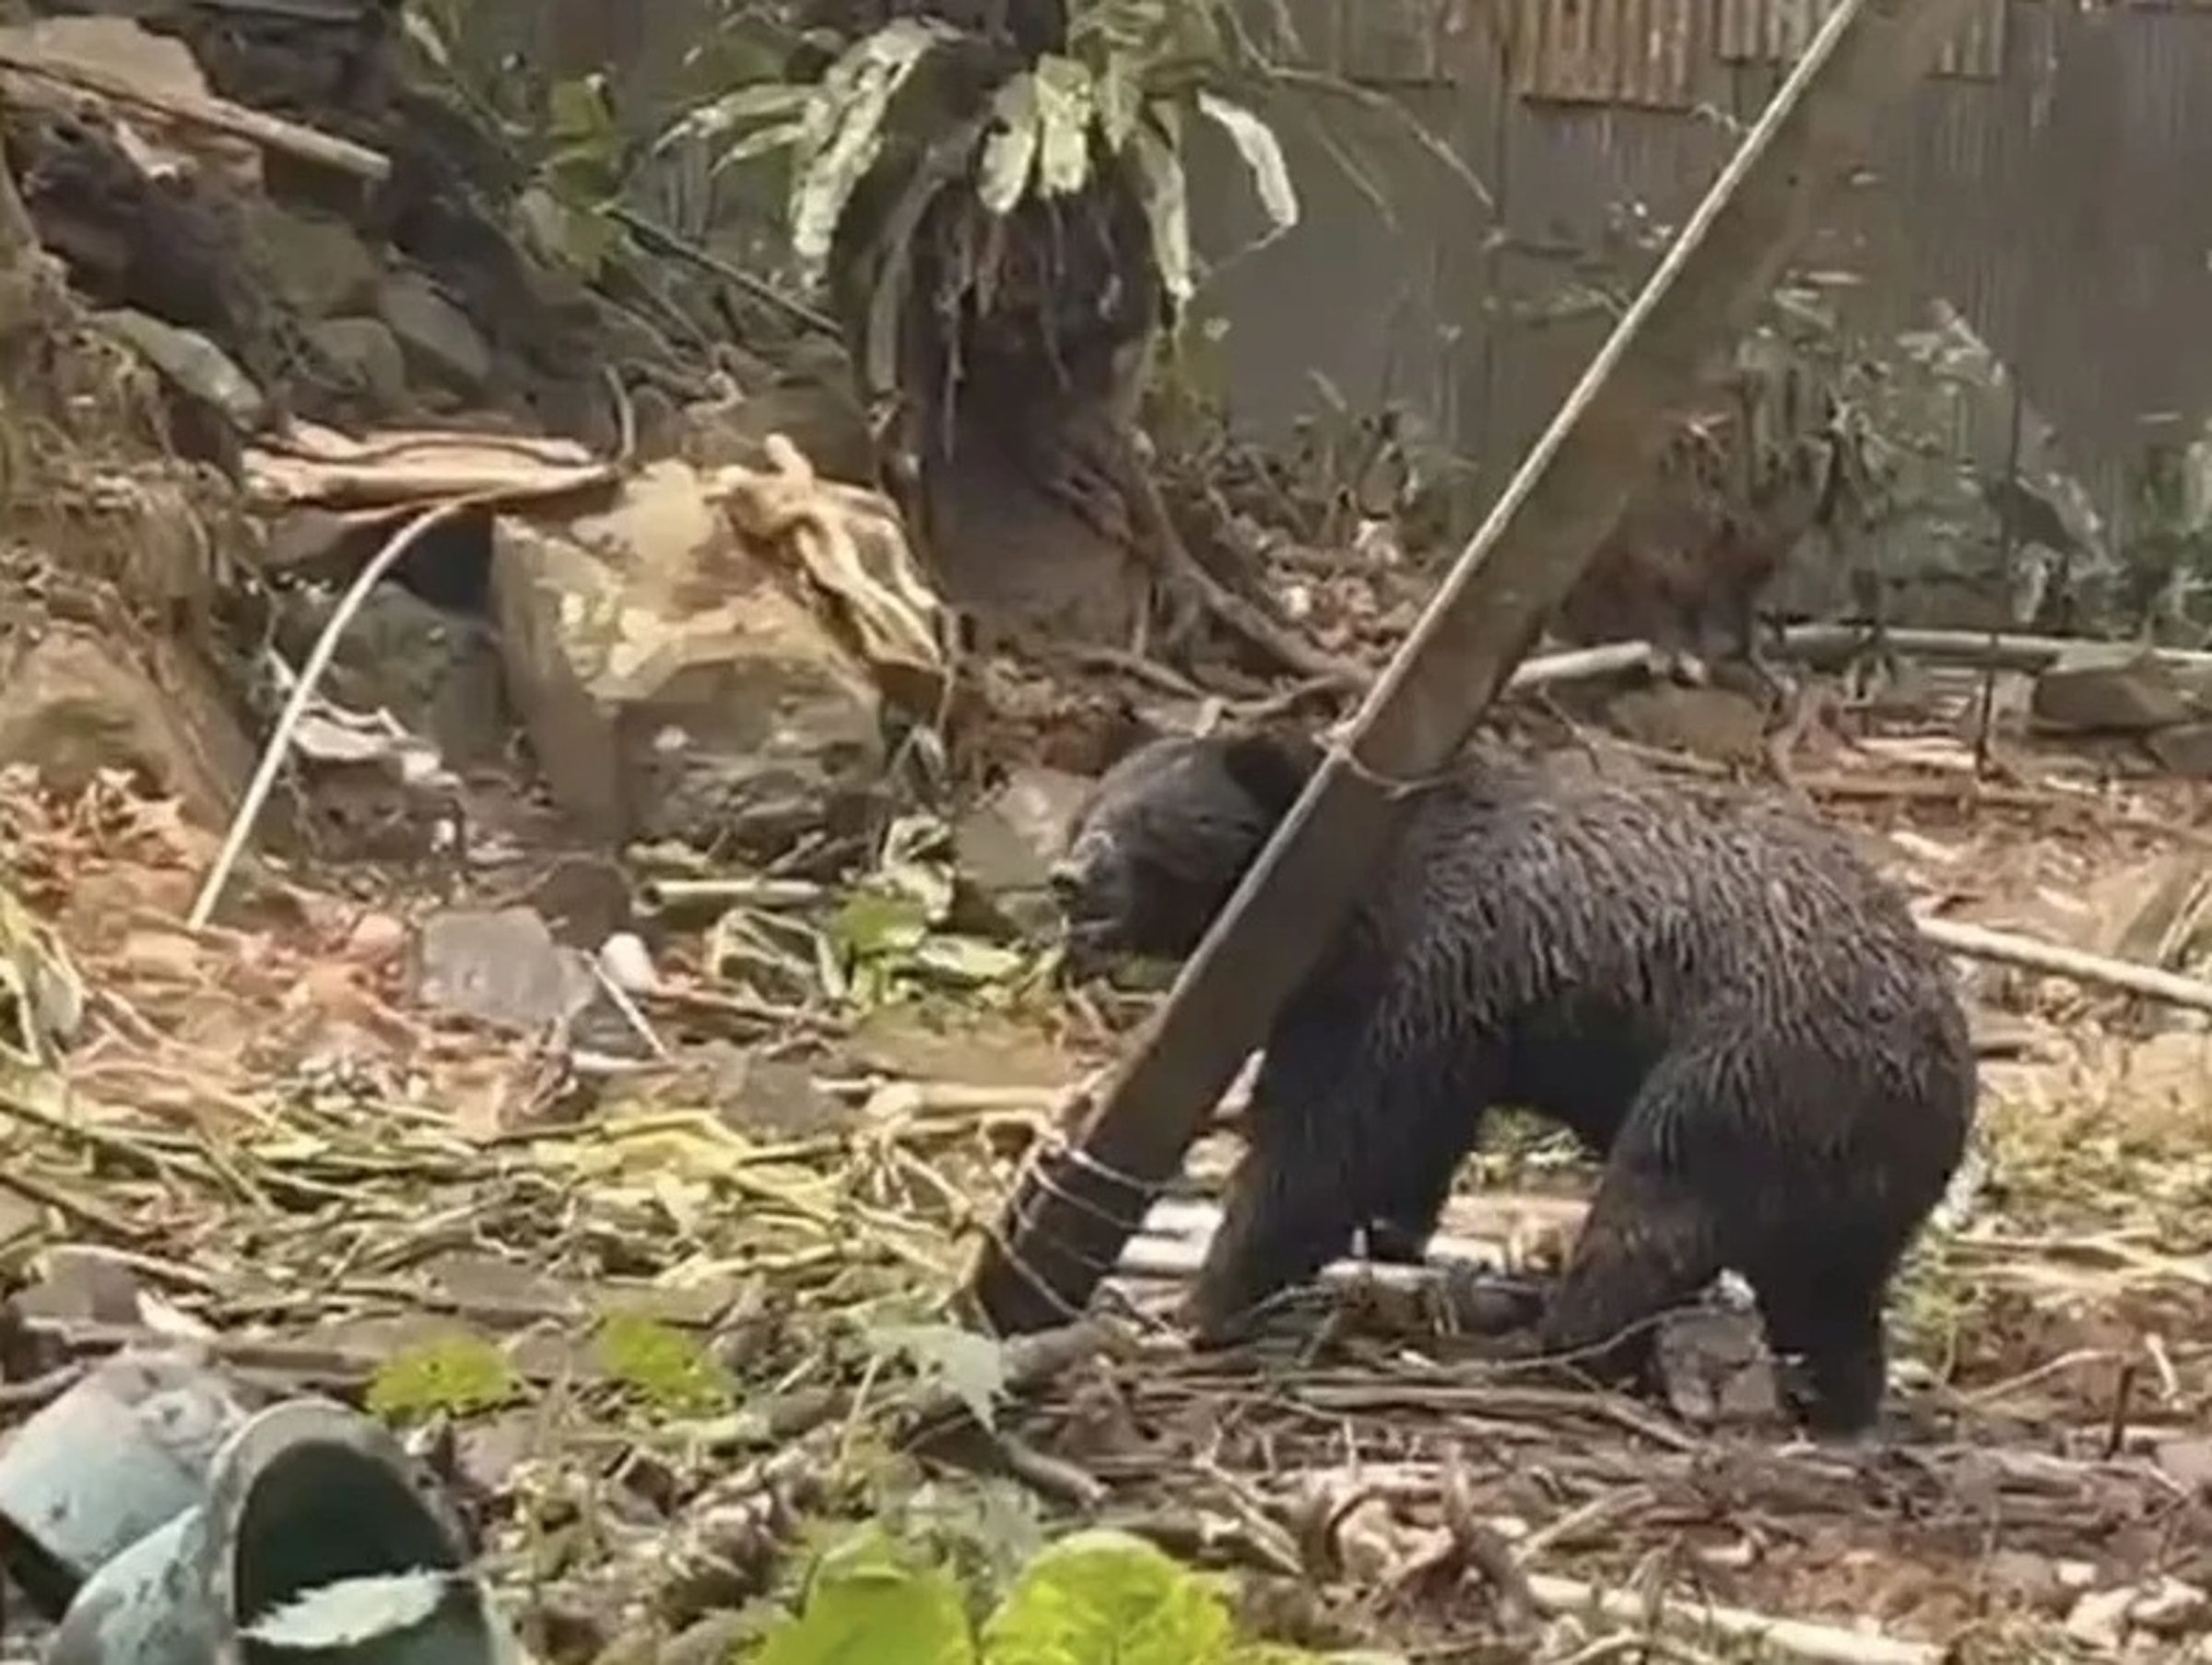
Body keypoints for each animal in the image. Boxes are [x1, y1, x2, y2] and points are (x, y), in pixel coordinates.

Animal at [1049, 728, 1977, 1436]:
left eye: (1146, 821)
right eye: (1090, 809)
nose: (1070, 878)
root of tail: (1943, 1067)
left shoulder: (1421, 973)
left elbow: (1331, 1145)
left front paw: (1206, 1295)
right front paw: (1389, 1245)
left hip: (1749, 1070)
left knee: (1652, 1215)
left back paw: (1541, 1347)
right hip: (1841, 1164)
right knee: (1825, 1289)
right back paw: (1832, 1395)